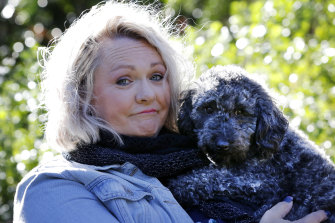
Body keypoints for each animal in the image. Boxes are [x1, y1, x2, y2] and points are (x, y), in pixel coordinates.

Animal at [168, 65, 335, 222]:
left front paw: (179, 184)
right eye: (208, 108)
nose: (222, 144)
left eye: (240, 112)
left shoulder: (258, 180)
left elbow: (213, 177)